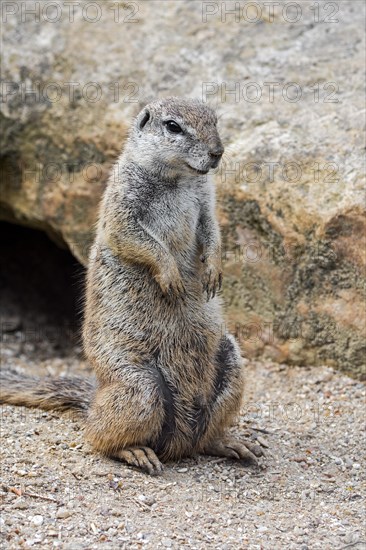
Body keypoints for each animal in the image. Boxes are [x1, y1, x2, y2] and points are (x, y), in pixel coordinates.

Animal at [1, 98, 262, 474]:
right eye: (172, 126)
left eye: (215, 120)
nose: (217, 152)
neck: (178, 179)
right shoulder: (123, 203)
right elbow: (136, 238)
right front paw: (171, 275)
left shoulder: (206, 203)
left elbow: (213, 232)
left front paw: (213, 271)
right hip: (140, 385)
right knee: (97, 437)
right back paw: (135, 452)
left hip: (232, 366)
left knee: (206, 437)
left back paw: (230, 443)